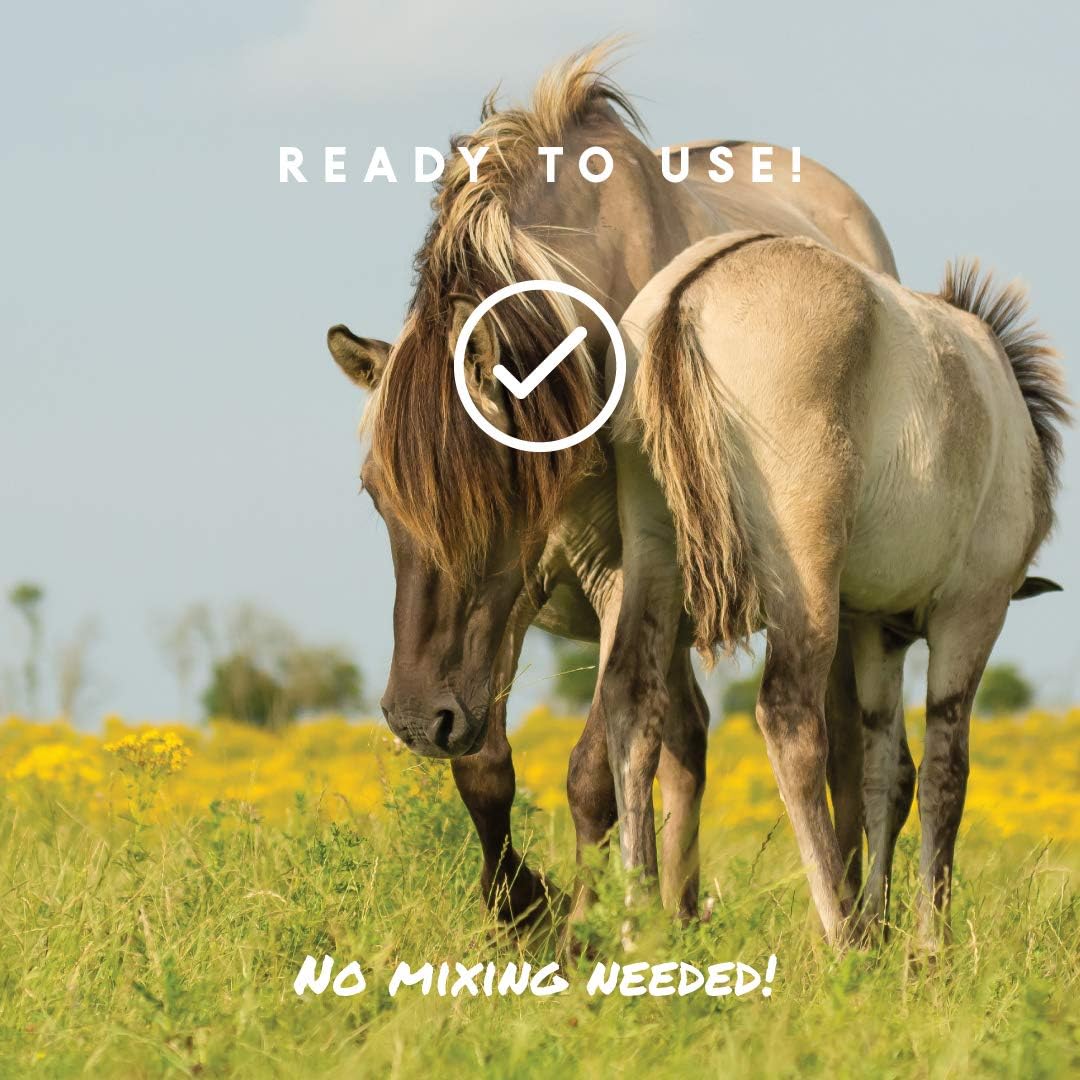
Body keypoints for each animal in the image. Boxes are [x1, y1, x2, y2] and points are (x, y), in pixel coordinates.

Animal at [608, 231, 1067, 946]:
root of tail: (690, 295)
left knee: (632, 704)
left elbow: (887, 775)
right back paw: (841, 932)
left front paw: (885, 930)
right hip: (804, 583)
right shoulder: (971, 614)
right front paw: (925, 944)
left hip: (652, 554)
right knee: (789, 717)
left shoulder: (877, 630)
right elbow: (945, 773)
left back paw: (638, 934)